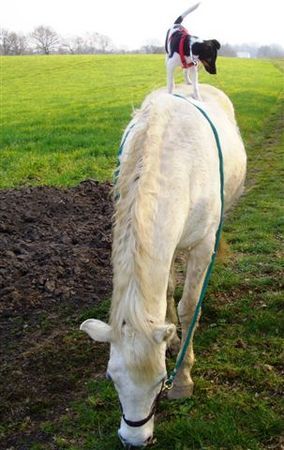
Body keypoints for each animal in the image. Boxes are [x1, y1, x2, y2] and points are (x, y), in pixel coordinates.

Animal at [80, 83, 246, 446]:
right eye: (111, 378)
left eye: (160, 381)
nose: (134, 440)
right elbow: (168, 289)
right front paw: (169, 339)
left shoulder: (202, 245)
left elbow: (189, 306)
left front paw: (183, 380)